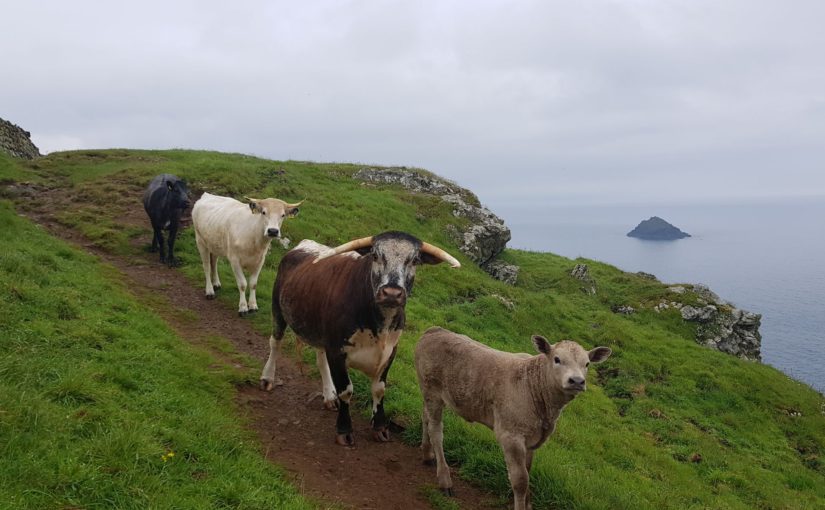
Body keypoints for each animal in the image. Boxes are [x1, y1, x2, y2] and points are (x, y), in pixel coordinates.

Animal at [260, 233, 460, 444]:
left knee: (320, 360)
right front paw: (344, 429)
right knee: (275, 343)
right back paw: (267, 378)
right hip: (278, 309)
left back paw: (328, 396)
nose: (391, 293)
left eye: (414, 260)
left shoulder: (391, 351)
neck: (380, 325)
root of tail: (304, 245)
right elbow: (346, 390)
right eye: (375, 256)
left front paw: (380, 426)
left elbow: (379, 389)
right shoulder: (337, 350)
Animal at [416, 326, 608, 510]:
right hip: (432, 391)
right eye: (557, 359)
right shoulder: (511, 435)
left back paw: (427, 454)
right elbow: (521, 480)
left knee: (425, 417)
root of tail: (435, 330)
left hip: (428, 394)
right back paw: (444, 479)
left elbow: (528, 470)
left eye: (587, 364)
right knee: (436, 430)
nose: (577, 381)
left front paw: (528, 504)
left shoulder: (532, 438)